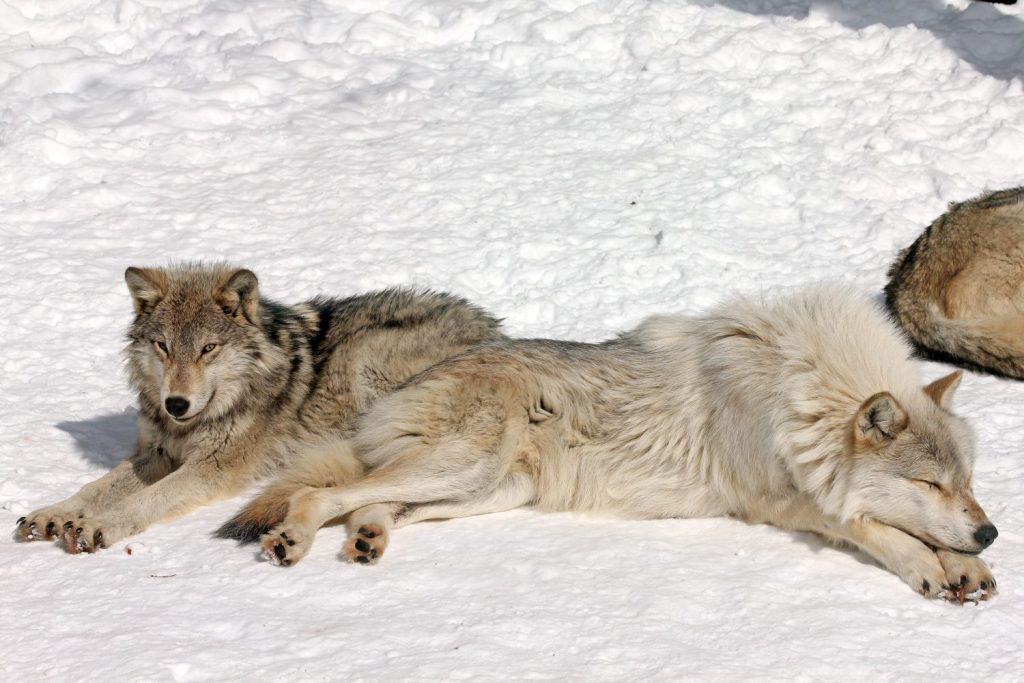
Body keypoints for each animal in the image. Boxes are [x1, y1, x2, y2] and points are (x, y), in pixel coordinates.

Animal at [15, 264, 503, 553]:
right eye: (164, 347)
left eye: (208, 349)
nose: (176, 404)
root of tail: (497, 331)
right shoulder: (156, 452)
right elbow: (95, 486)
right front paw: (53, 514)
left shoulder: (212, 468)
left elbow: (145, 500)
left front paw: (100, 525)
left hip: (371, 363)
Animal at [235, 286, 997, 601]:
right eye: (929, 483)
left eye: (966, 480)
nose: (990, 532)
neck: (802, 390)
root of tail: (413, 379)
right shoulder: (776, 502)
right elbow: (872, 524)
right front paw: (933, 568)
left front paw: (969, 566)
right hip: (462, 467)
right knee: (322, 492)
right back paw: (292, 539)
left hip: (481, 488)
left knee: (372, 504)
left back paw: (368, 539)